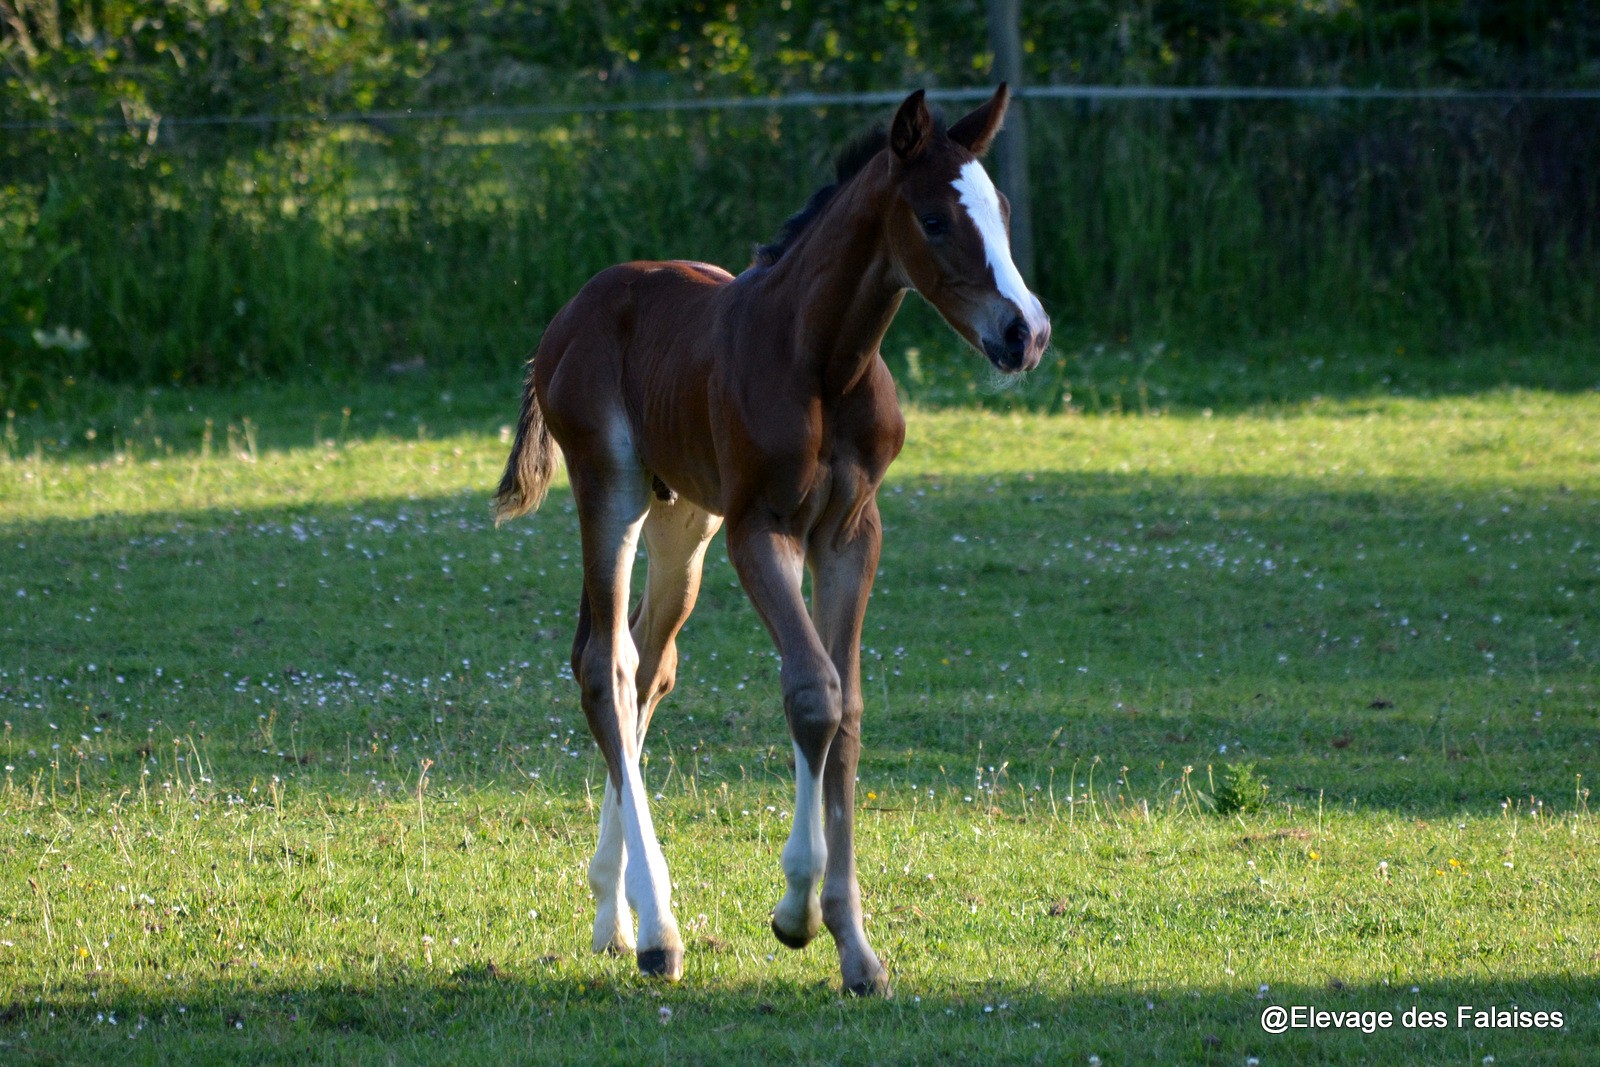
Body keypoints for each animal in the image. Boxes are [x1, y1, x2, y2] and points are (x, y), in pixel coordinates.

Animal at [499, 87, 1049, 998]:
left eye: (1003, 210)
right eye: (935, 219)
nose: (1025, 332)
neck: (823, 360)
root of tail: (570, 311)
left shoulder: (853, 531)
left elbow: (847, 707)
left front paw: (856, 947)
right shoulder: (762, 529)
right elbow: (812, 692)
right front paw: (796, 912)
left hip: (685, 518)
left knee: (647, 667)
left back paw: (612, 914)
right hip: (612, 488)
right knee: (604, 666)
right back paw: (657, 929)